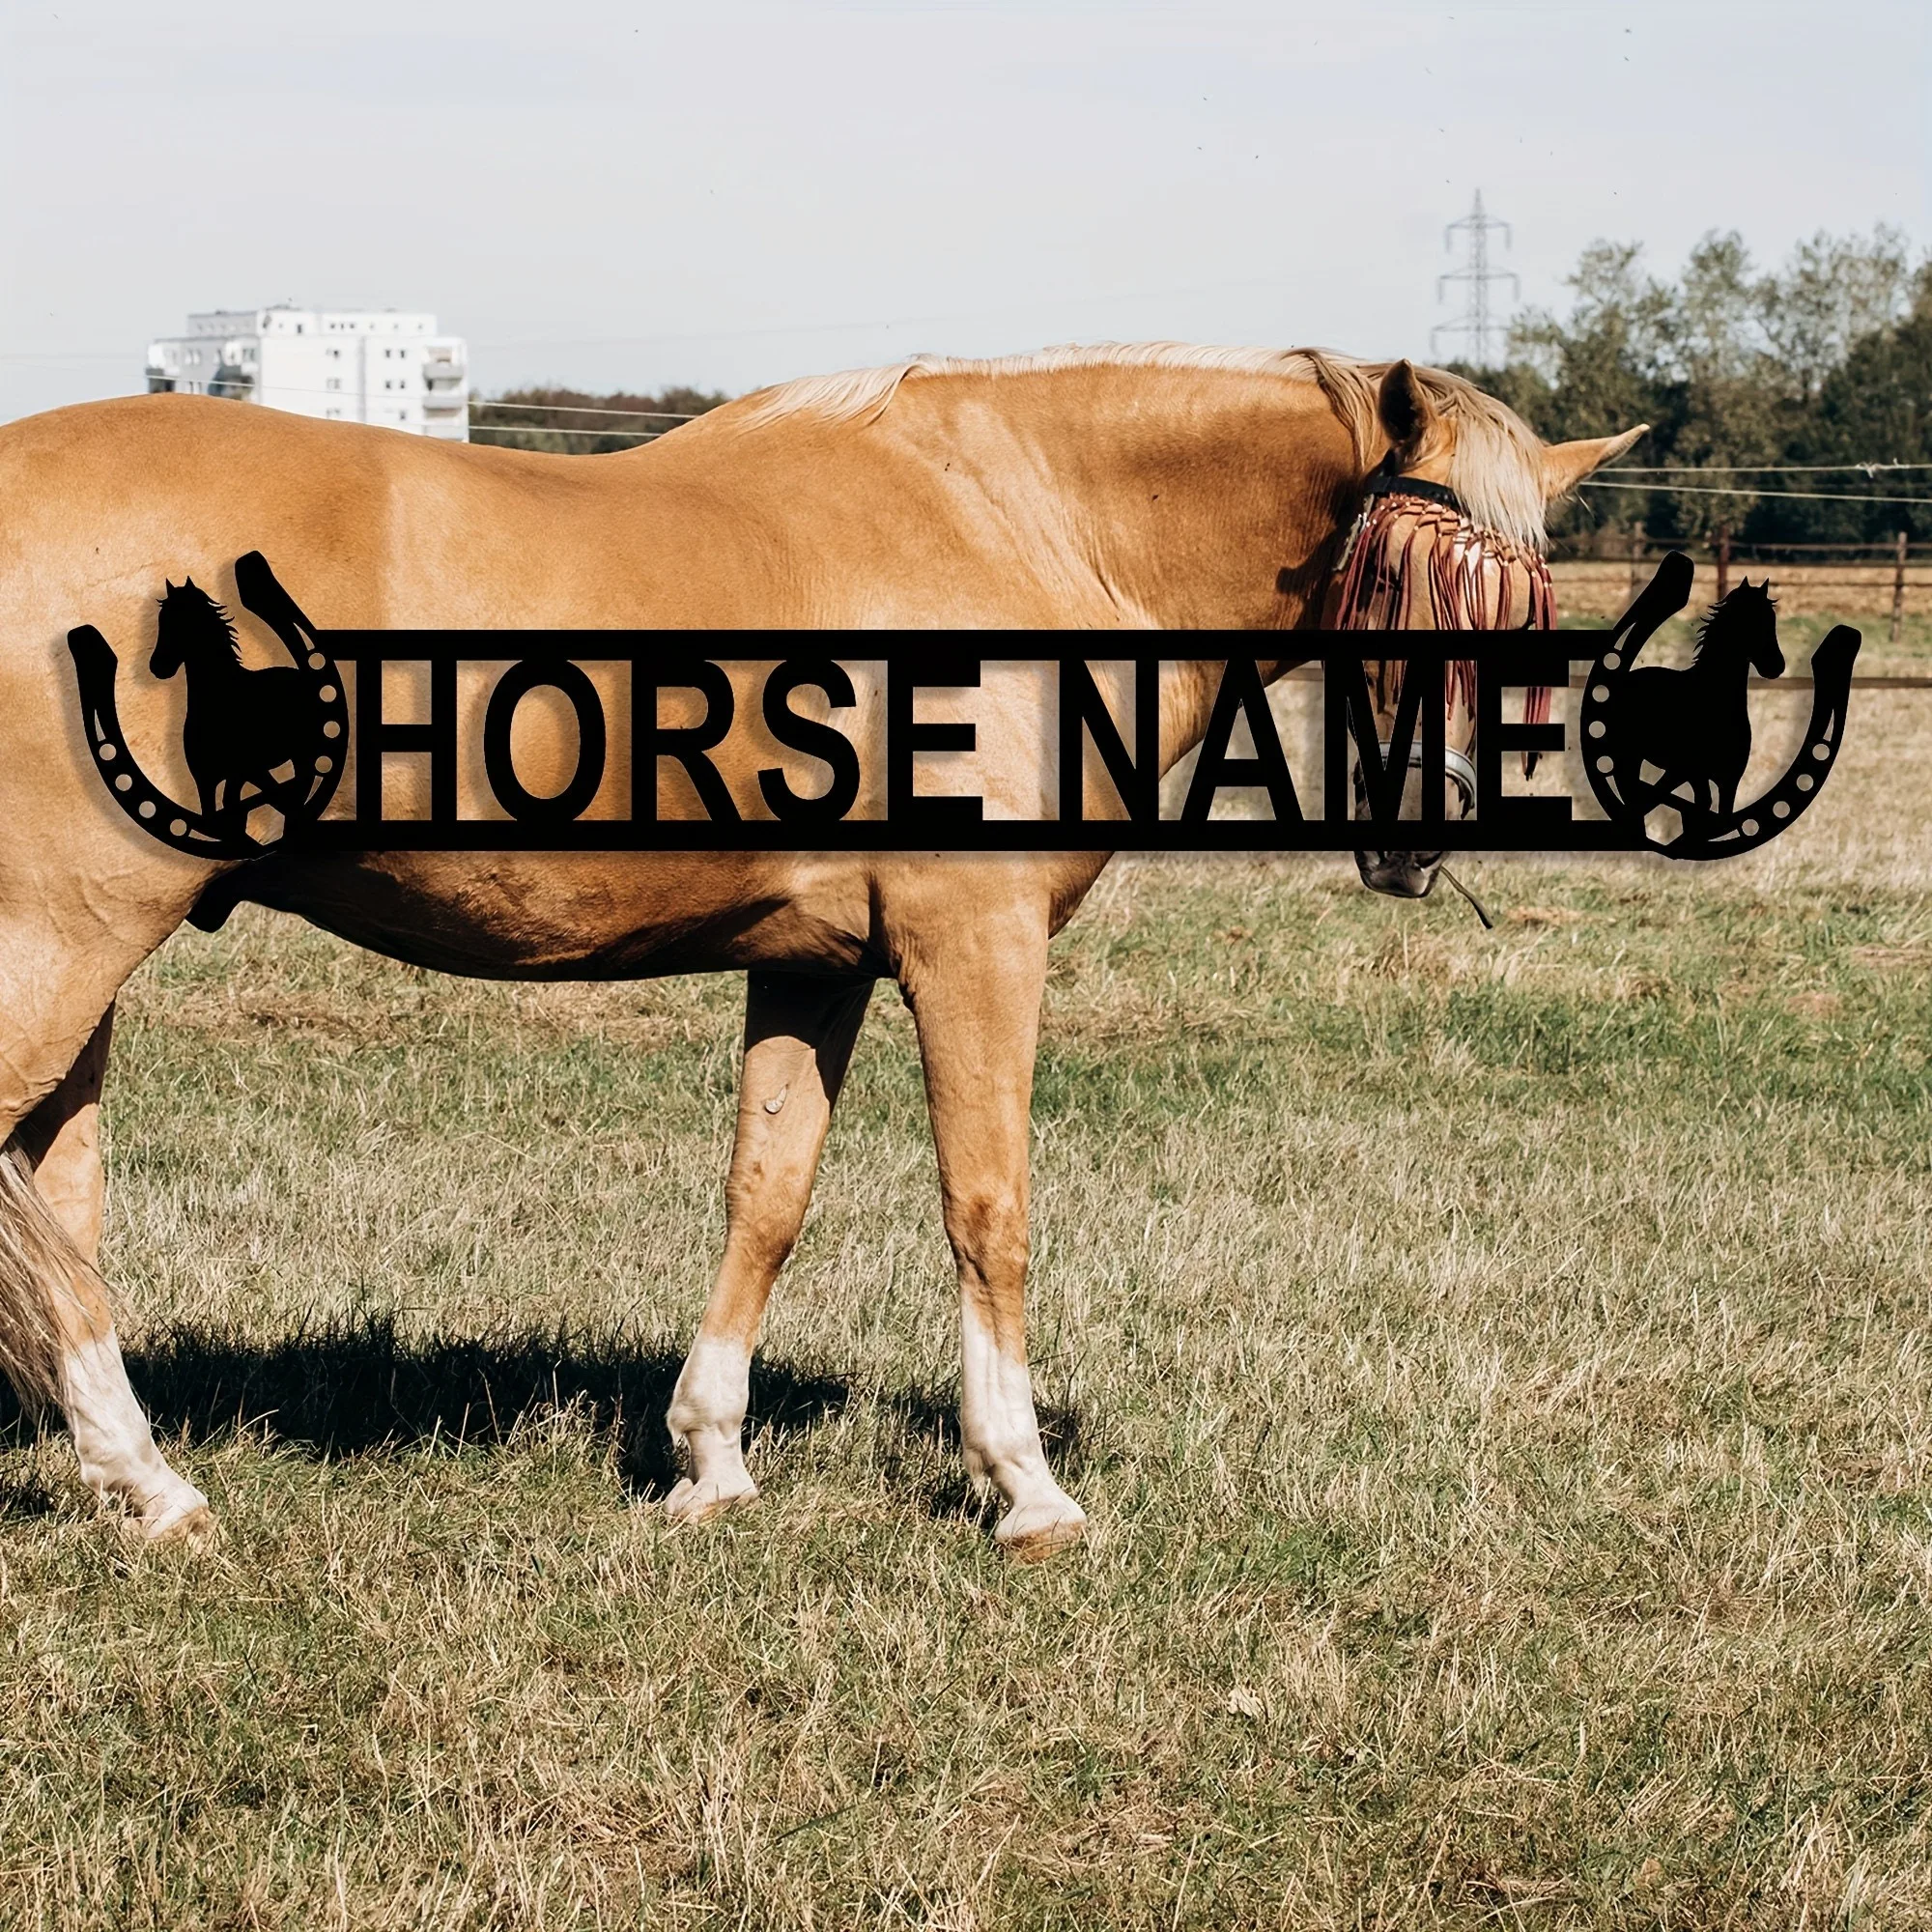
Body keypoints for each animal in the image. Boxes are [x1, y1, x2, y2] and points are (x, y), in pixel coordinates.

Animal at [148, 577, 322, 829]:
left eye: (181, 620)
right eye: (163, 620)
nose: (157, 666)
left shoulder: (246, 772)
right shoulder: (206, 782)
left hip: (302, 754)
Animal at [1610, 578, 1784, 831]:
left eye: (1772, 619)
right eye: (1750, 620)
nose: (1776, 666)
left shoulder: (1729, 781)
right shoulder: (1692, 774)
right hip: (1629, 757)